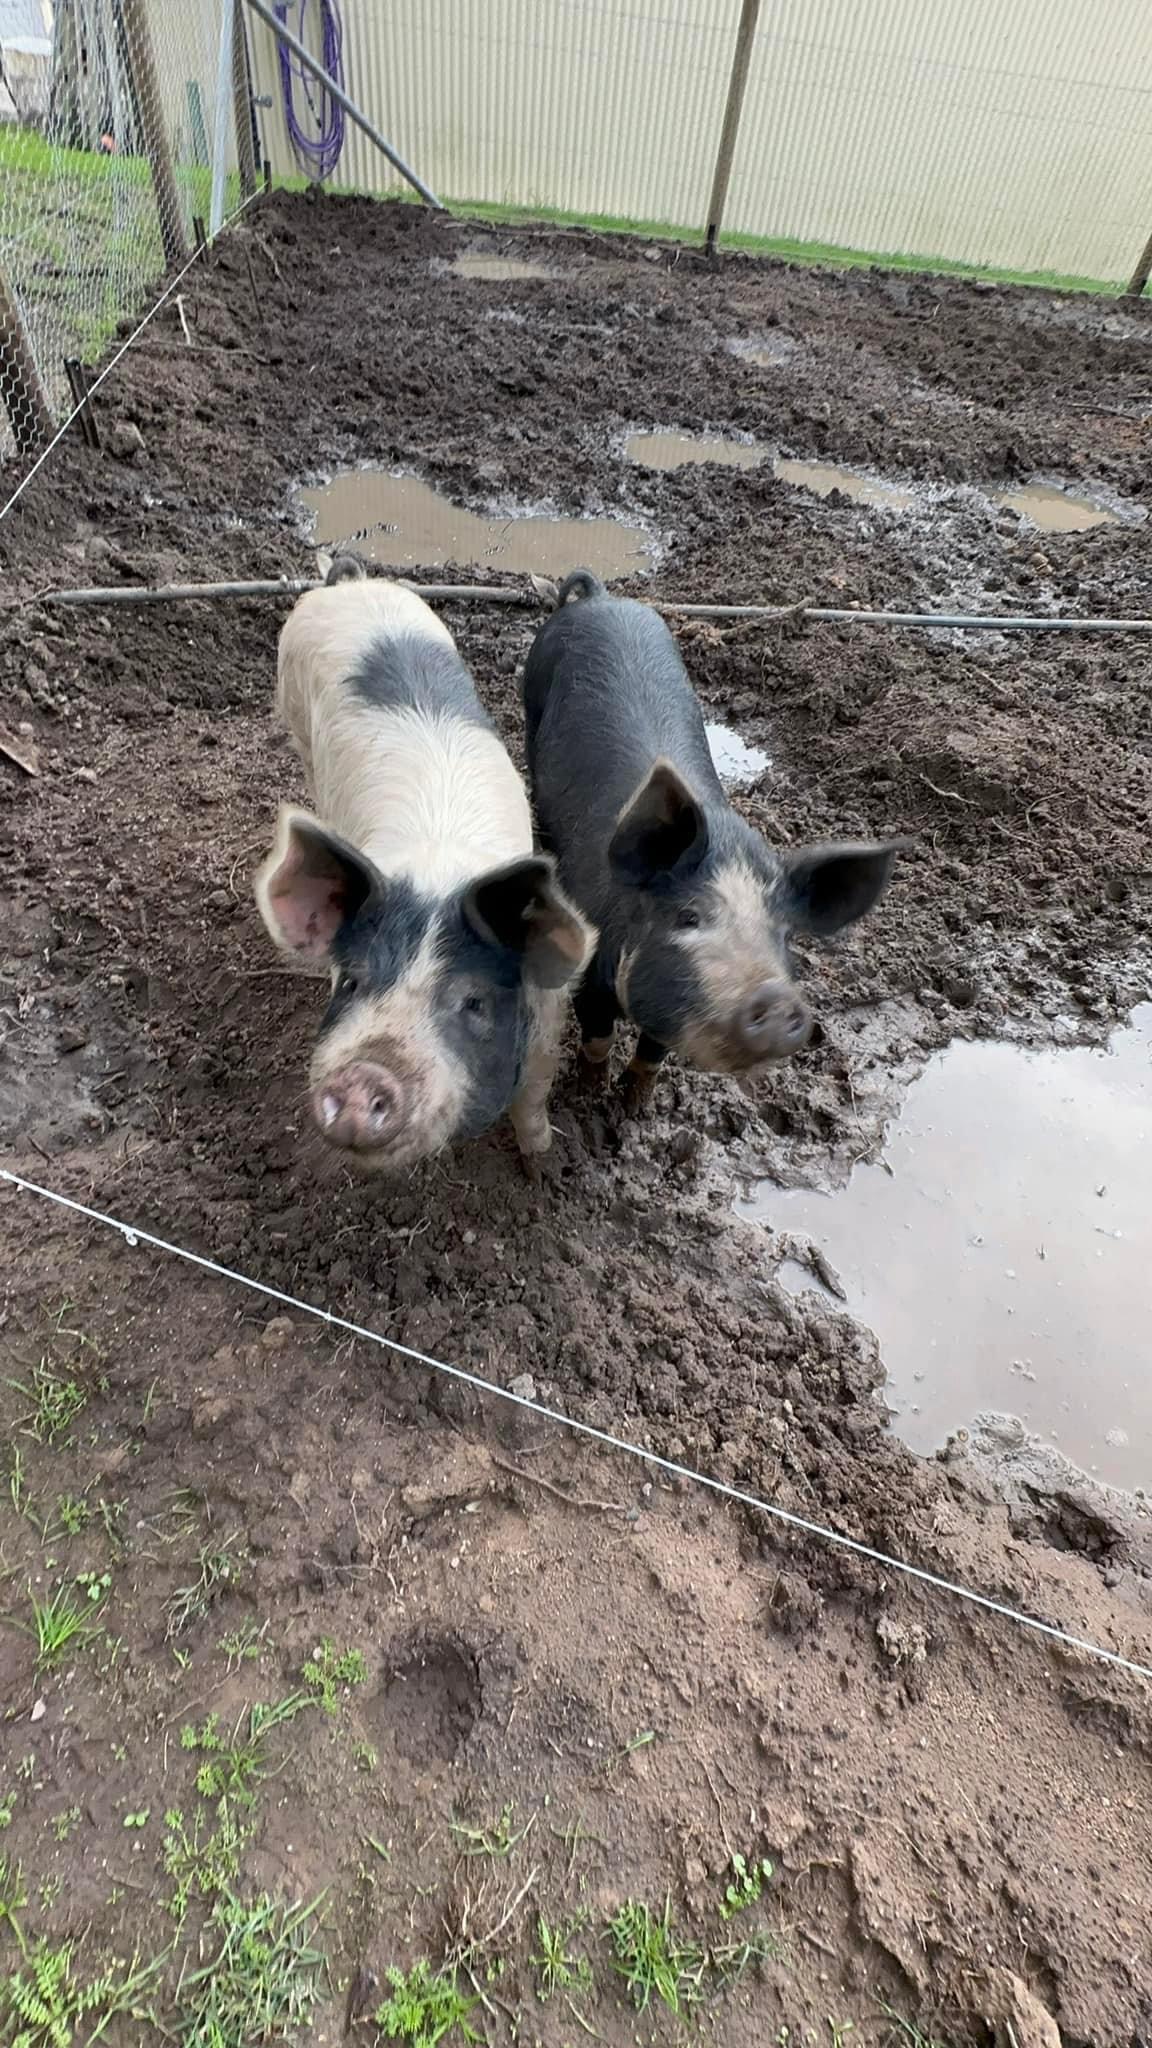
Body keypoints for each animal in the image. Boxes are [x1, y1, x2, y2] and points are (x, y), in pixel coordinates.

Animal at [254, 559, 594, 1170]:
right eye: (351, 983)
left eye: (473, 1001)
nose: (365, 1075)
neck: (437, 873)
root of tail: (348, 584)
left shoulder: (549, 1019)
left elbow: (533, 1096)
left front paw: (542, 1164)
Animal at [521, 569, 904, 1104]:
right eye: (688, 916)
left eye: (783, 934)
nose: (774, 997)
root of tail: (600, 597)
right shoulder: (591, 977)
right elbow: (598, 1035)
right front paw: (592, 1092)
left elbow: (653, 1050)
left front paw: (636, 1103)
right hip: (530, 692)